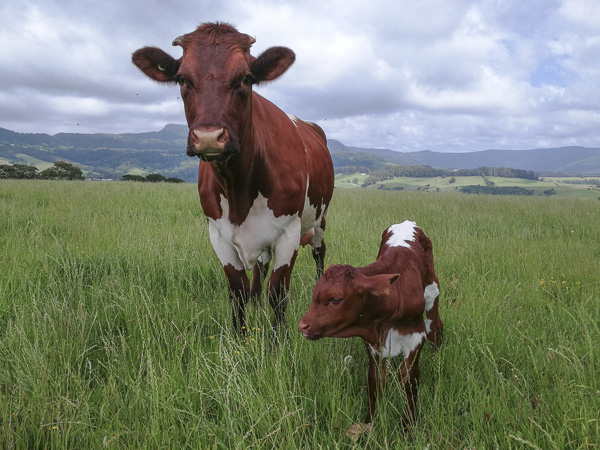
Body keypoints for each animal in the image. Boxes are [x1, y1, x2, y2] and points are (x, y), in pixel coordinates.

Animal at [132, 22, 336, 336]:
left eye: (246, 77)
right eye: (181, 77)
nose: (208, 136)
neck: (239, 186)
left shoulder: (288, 231)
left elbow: (278, 292)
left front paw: (277, 342)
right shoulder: (218, 233)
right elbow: (237, 291)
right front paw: (241, 338)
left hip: (319, 219)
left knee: (318, 253)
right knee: (261, 266)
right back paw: (255, 301)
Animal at [298, 221, 442, 428]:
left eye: (335, 299)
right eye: (314, 295)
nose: (303, 325)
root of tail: (408, 223)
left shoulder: (416, 336)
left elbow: (408, 378)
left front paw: (409, 424)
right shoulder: (373, 343)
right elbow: (375, 382)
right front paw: (369, 425)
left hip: (432, 290)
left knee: (435, 326)